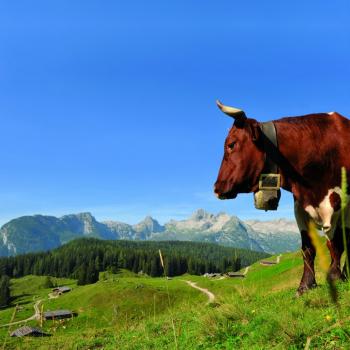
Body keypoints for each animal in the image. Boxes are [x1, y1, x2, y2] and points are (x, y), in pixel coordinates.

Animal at [213, 101, 350, 296]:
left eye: (231, 144)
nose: (216, 188)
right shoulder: (300, 207)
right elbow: (308, 248)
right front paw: (305, 286)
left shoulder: (340, 203)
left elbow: (337, 243)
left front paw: (335, 276)